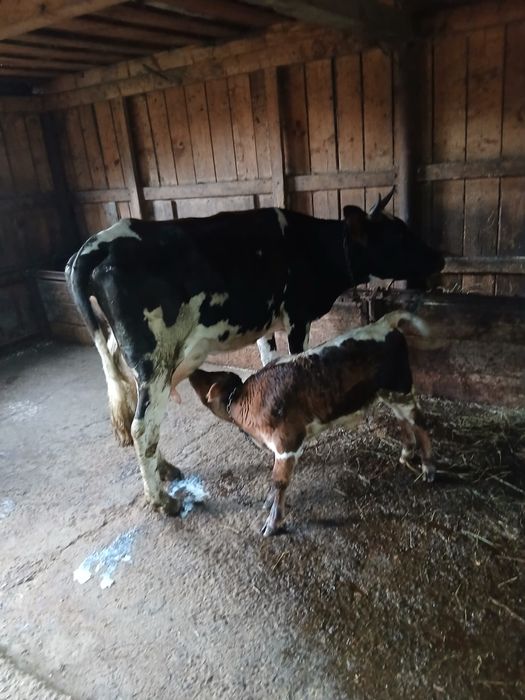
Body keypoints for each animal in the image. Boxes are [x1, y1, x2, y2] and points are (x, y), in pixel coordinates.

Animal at [189, 311, 434, 536]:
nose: (193, 371)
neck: (245, 400)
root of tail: (383, 323)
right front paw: (268, 502)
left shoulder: (287, 443)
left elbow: (279, 482)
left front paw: (272, 523)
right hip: (388, 393)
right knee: (403, 420)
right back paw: (405, 455)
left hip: (401, 389)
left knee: (419, 422)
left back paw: (428, 469)